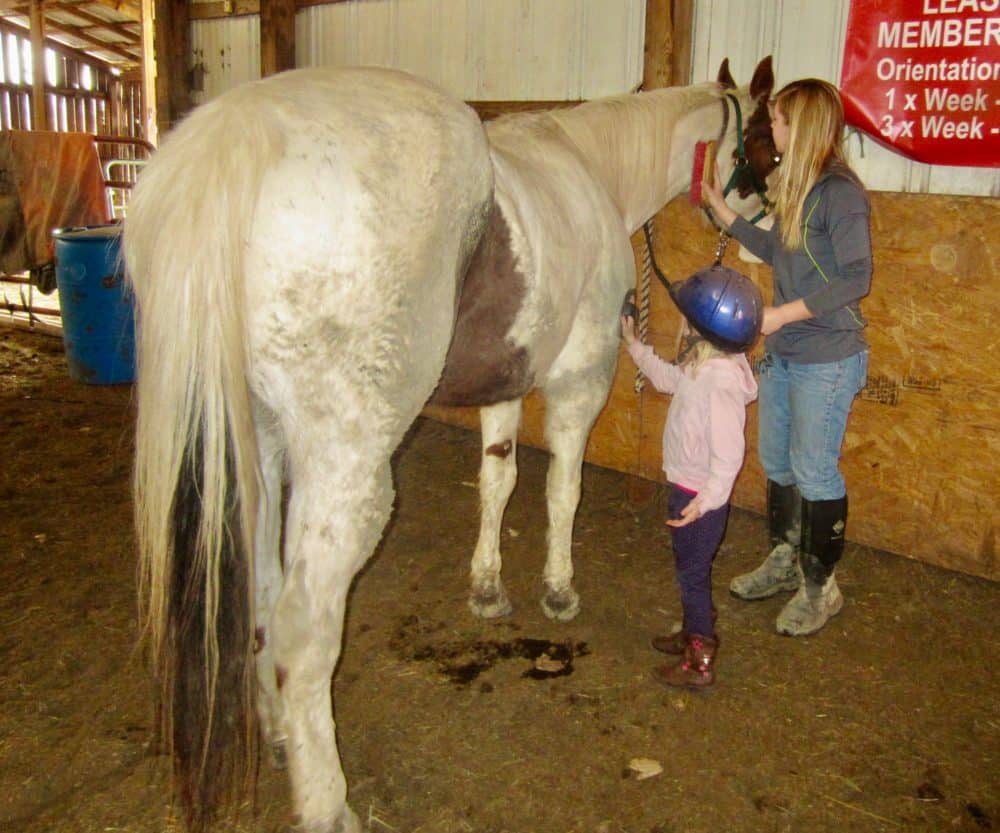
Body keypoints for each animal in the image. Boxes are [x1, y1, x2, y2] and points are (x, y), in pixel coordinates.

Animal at [125, 55, 776, 828]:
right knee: (303, 631)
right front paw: (558, 588)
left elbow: (497, 483)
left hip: (258, 449)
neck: (590, 167)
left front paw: (488, 587)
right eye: (766, 143)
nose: (765, 222)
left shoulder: (502, 388)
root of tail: (233, 143)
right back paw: (328, 802)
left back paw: (280, 731)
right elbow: (563, 491)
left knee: (261, 589)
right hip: (346, 473)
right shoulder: (577, 383)